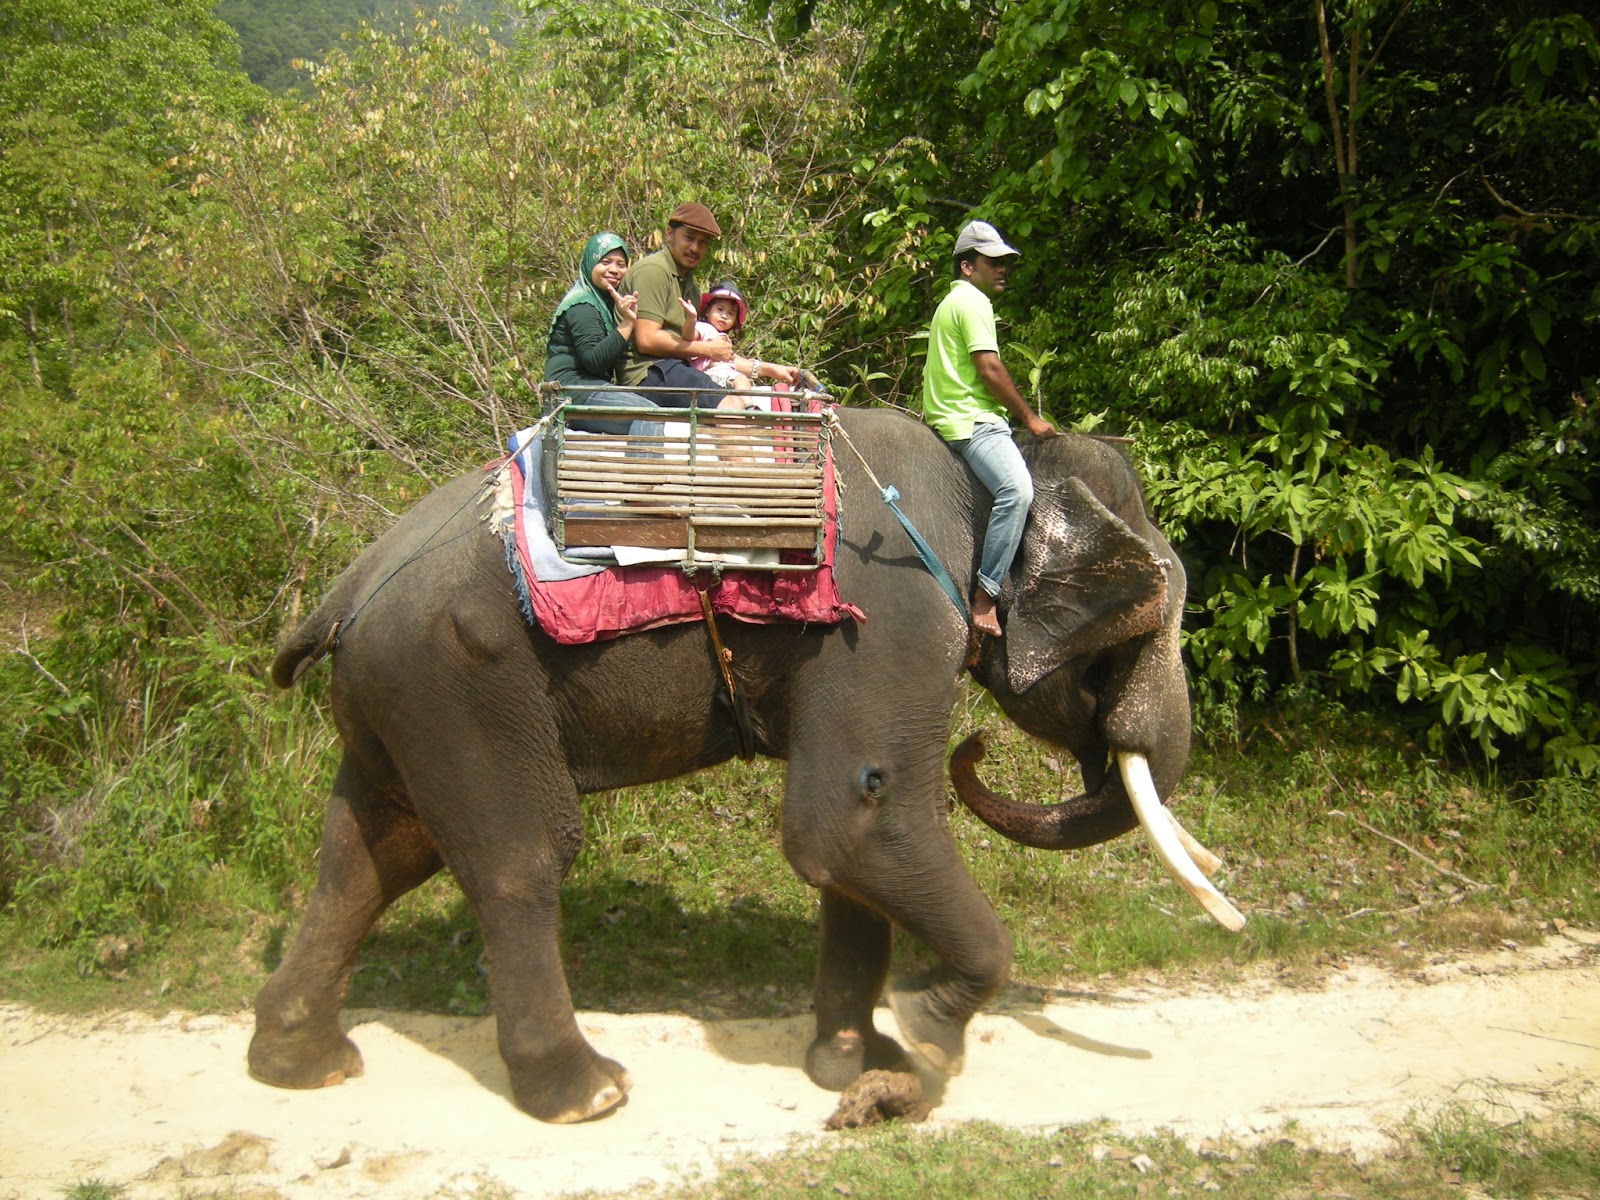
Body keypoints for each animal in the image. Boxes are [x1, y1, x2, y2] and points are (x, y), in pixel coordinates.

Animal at [252, 405, 1242, 1124]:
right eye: (1135, 634)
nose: (979, 746)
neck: (989, 475)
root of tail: (344, 591)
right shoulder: (892, 619)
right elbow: (851, 822)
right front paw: (927, 1042)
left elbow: (854, 829)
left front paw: (857, 1063)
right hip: (462, 683)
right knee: (521, 859)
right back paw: (587, 1094)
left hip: (401, 695)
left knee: (370, 855)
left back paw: (304, 1065)